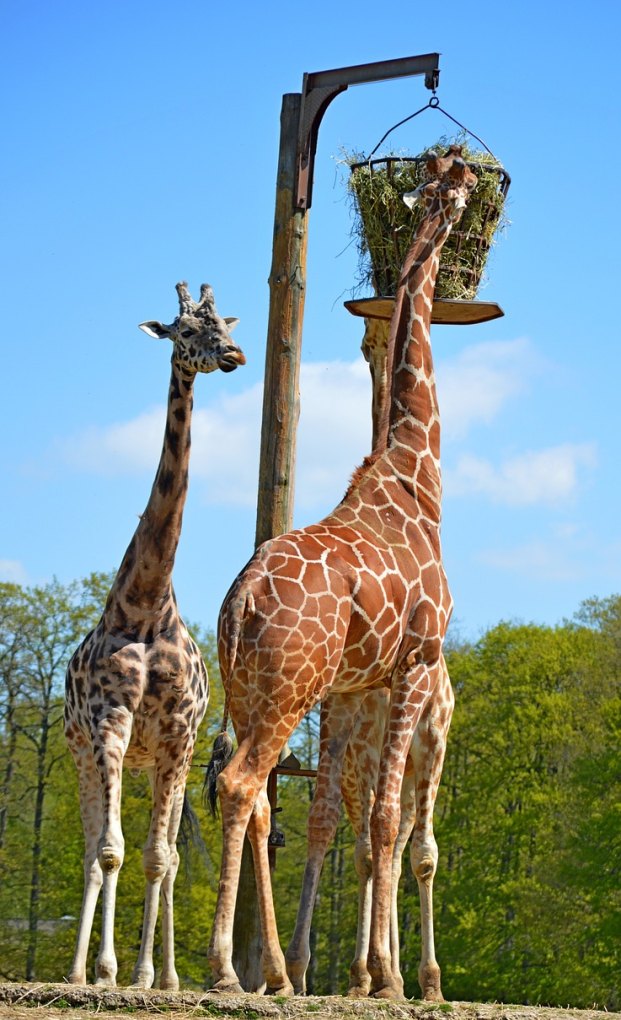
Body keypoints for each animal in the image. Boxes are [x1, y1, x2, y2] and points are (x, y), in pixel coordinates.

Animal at [63, 281, 244, 987]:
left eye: (225, 324)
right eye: (185, 330)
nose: (234, 355)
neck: (143, 603)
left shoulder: (175, 735)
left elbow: (160, 858)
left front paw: (148, 975)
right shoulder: (109, 724)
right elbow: (110, 851)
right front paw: (106, 970)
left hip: (165, 759)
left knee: (163, 852)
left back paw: (162, 974)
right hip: (87, 753)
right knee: (95, 846)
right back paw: (82, 971)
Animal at [208, 147, 475, 999]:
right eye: (453, 186)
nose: (469, 184)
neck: (415, 479)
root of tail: (240, 603)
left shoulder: (361, 686)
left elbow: (353, 827)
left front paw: (365, 971)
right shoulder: (414, 664)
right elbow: (386, 824)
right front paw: (387, 980)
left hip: (250, 691)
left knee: (262, 800)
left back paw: (271, 972)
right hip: (290, 688)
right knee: (241, 786)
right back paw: (225, 969)